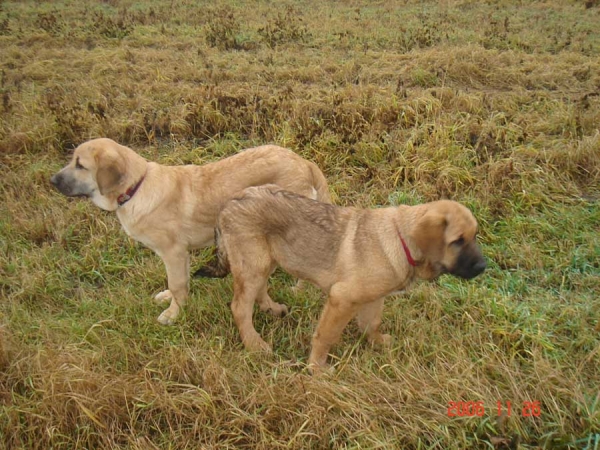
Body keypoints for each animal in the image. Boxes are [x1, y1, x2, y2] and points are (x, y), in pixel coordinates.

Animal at [50, 137, 332, 324]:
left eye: (80, 165)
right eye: (72, 160)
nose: (51, 180)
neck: (137, 186)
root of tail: (303, 162)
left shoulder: (173, 252)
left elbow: (177, 284)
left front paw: (173, 313)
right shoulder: (180, 254)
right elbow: (179, 282)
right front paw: (170, 300)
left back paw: (299, 291)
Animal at [195, 185, 486, 370]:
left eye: (474, 236)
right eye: (457, 241)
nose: (483, 266)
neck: (401, 238)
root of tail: (226, 205)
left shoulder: (373, 297)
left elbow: (371, 323)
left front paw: (378, 342)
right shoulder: (341, 299)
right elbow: (326, 336)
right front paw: (316, 368)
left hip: (266, 260)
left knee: (259, 290)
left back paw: (271, 308)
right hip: (253, 263)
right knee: (240, 307)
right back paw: (255, 344)